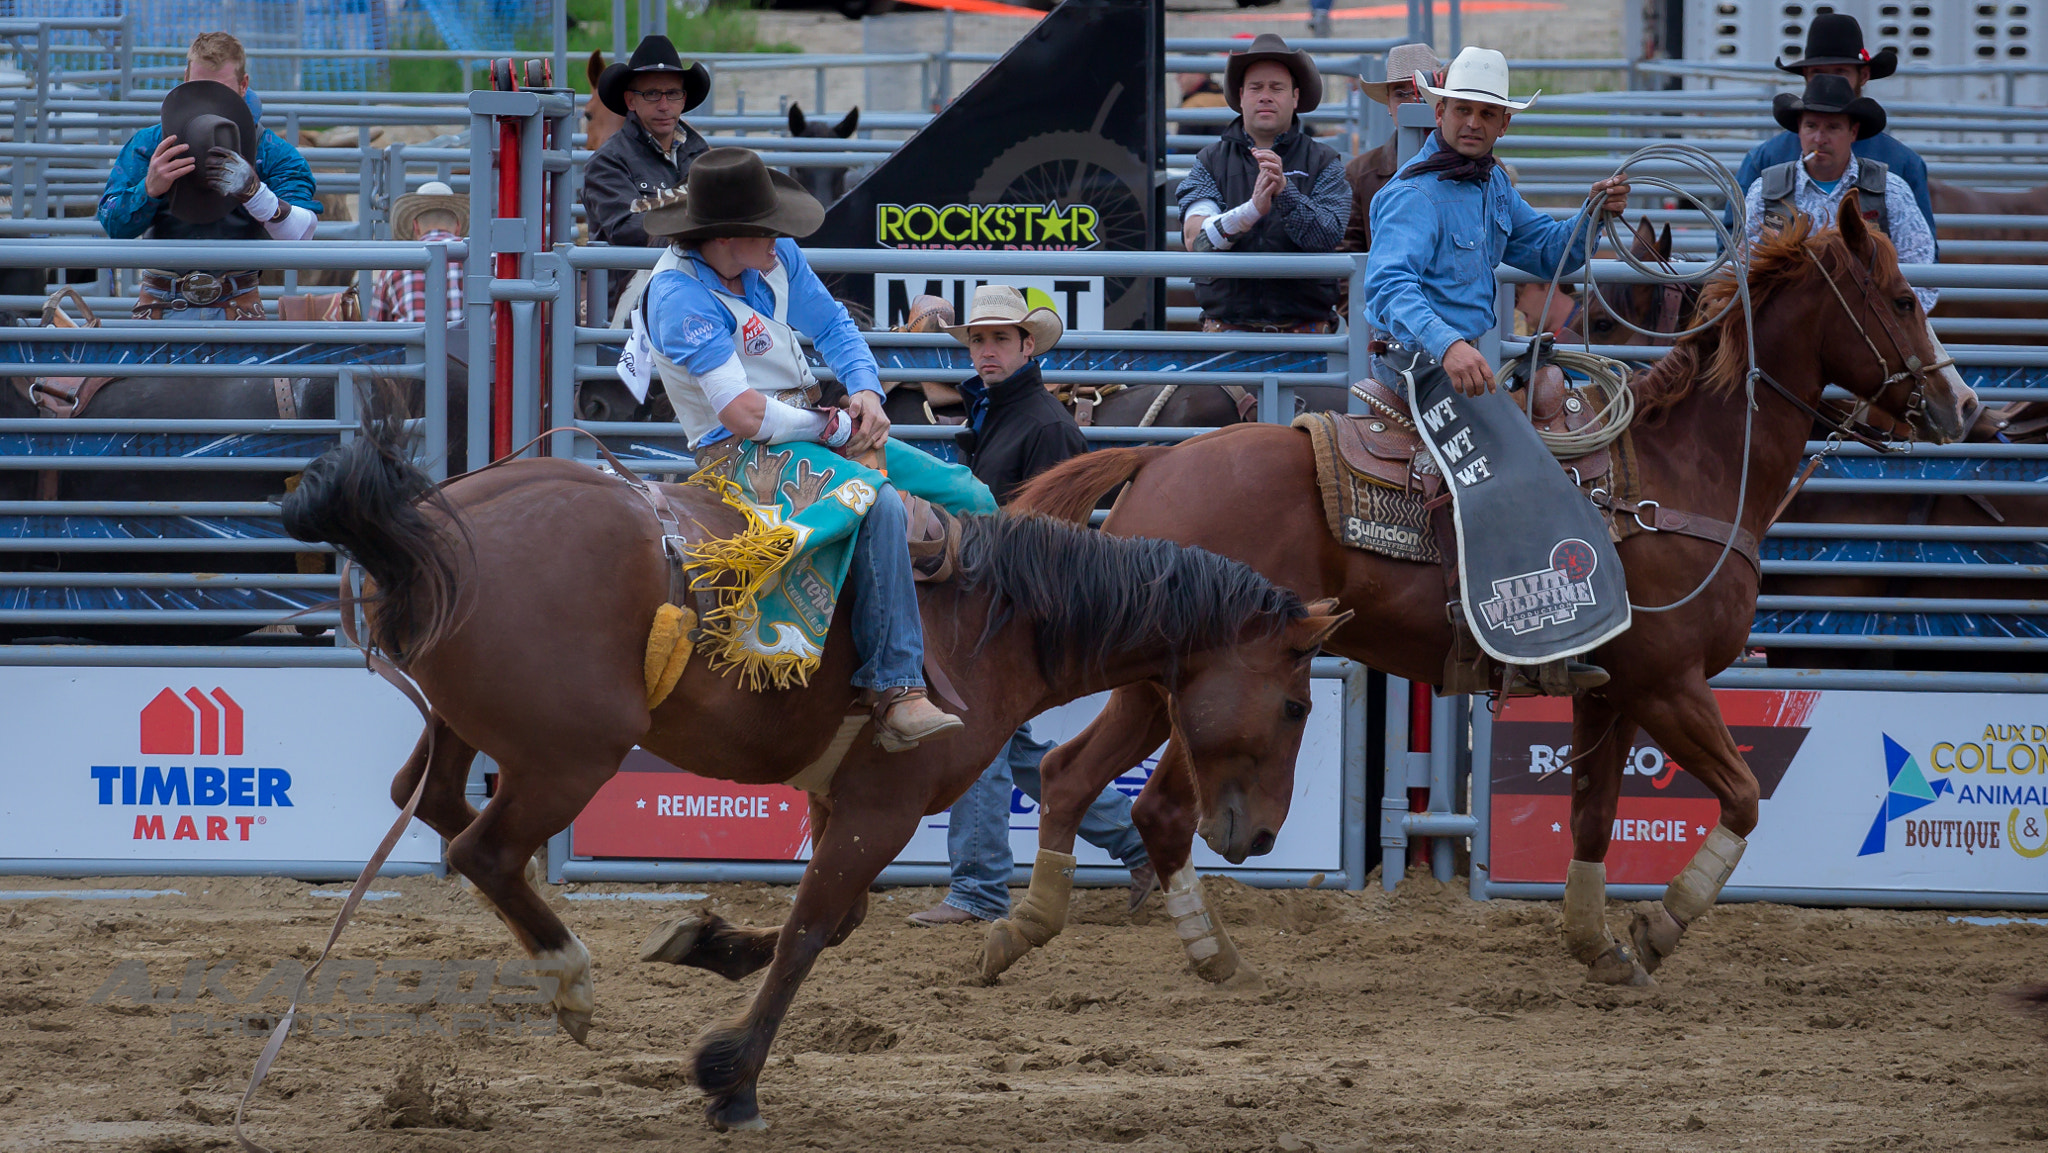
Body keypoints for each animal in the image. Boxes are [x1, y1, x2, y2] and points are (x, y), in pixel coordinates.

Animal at [284, 413, 1343, 1130]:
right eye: (1298, 704)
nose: (1260, 834)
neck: (994, 620)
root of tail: (432, 522)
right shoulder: (886, 802)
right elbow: (812, 928)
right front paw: (732, 1078)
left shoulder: (843, 797)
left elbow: (830, 921)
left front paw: (706, 942)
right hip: (569, 756)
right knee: (483, 850)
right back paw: (571, 978)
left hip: (471, 728)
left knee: (428, 800)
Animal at [1003, 200, 1966, 991]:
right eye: (1902, 300)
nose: (1961, 405)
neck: (1681, 473)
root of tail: (1155, 461)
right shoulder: (1670, 681)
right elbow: (1742, 796)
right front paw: (1656, 928)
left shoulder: (1613, 692)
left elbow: (1593, 817)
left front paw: (1597, 943)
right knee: (1153, 803)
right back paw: (1188, 950)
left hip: (1154, 685)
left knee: (1075, 777)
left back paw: (1034, 930)